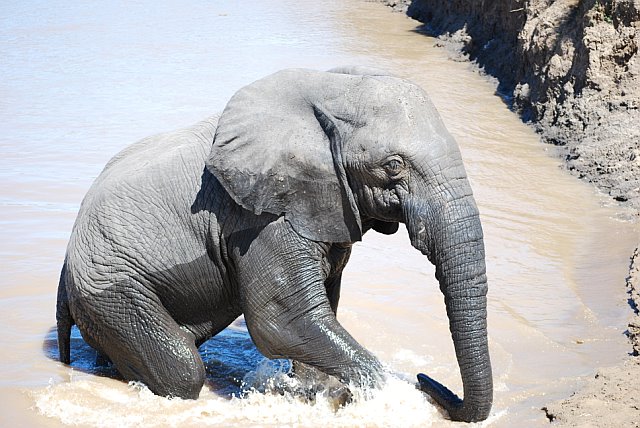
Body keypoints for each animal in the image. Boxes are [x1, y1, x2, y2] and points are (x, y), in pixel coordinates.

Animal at [56, 66, 492, 422]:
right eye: (393, 166)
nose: (425, 380)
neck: (333, 88)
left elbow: (319, 312)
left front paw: (315, 393)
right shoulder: (261, 218)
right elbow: (282, 321)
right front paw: (387, 401)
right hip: (109, 289)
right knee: (183, 369)